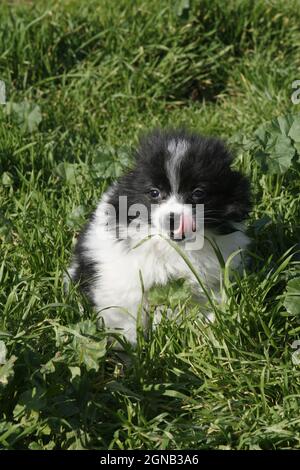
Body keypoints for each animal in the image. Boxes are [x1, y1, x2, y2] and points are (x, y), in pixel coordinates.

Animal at [67, 129, 251, 346]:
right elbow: (125, 318)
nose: (174, 219)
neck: (175, 248)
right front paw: (128, 349)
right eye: (154, 193)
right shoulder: (123, 284)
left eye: (198, 193)